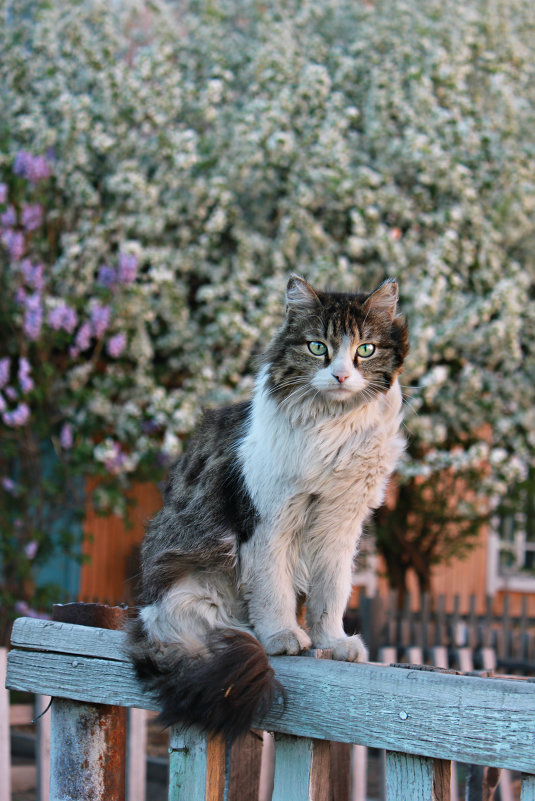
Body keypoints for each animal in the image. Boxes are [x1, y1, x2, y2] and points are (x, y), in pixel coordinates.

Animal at [126, 274, 410, 736]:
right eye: (317, 347)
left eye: (365, 349)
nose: (341, 375)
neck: (332, 427)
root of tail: (145, 616)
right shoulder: (268, 521)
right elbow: (274, 588)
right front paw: (282, 637)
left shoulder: (340, 525)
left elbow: (331, 593)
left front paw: (332, 642)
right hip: (193, 592)